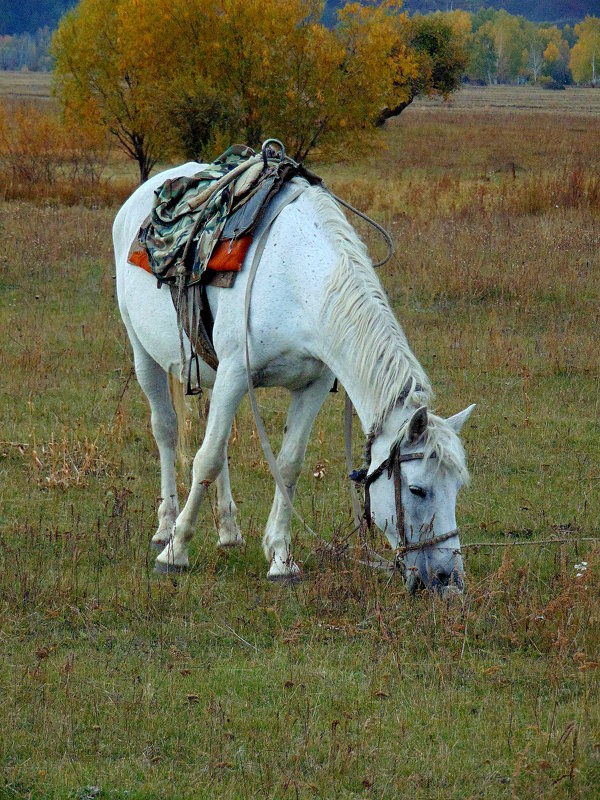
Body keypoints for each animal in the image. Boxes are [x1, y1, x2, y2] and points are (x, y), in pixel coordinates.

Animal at [115, 164, 476, 592]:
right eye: (417, 489)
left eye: (458, 488)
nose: (448, 580)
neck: (300, 277)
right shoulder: (236, 372)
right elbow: (205, 460)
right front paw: (175, 552)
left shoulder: (311, 385)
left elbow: (287, 465)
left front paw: (281, 559)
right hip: (145, 355)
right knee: (167, 432)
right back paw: (165, 527)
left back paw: (228, 531)